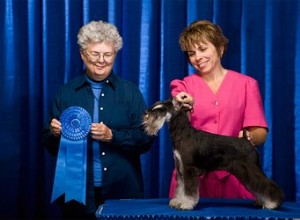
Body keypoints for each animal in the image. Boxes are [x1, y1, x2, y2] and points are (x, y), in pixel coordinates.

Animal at [143, 99, 284, 211]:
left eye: (161, 109)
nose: (146, 113)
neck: (182, 133)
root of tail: (247, 141)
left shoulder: (189, 169)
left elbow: (189, 190)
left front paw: (185, 204)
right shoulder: (180, 168)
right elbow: (181, 188)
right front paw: (177, 201)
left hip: (251, 169)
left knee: (266, 184)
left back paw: (272, 203)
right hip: (245, 173)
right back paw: (262, 201)